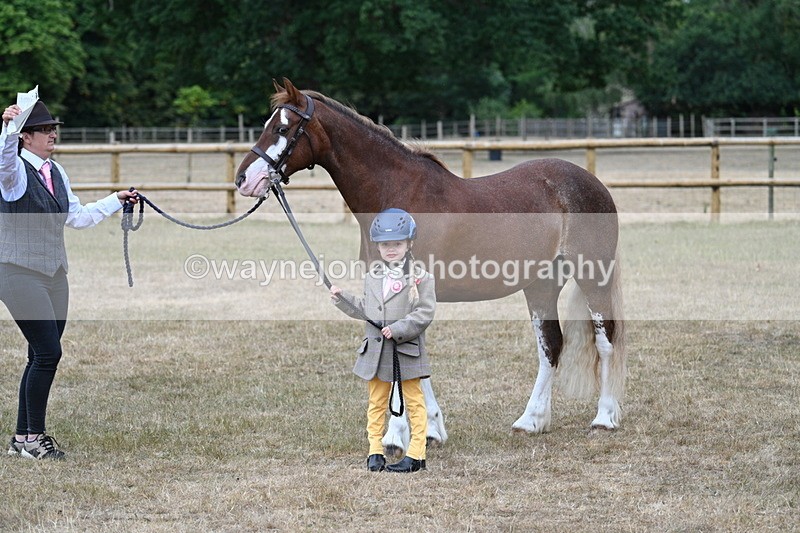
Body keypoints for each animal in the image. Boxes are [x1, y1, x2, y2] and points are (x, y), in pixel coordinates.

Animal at [235, 79, 626, 456]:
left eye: (283, 128)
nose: (243, 179)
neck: (397, 198)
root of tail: (591, 183)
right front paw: (431, 430)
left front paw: (397, 437)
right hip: (541, 284)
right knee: (551, 345)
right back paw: (531, 421)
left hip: (592, 276)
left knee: (606, 340)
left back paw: (604, 418)